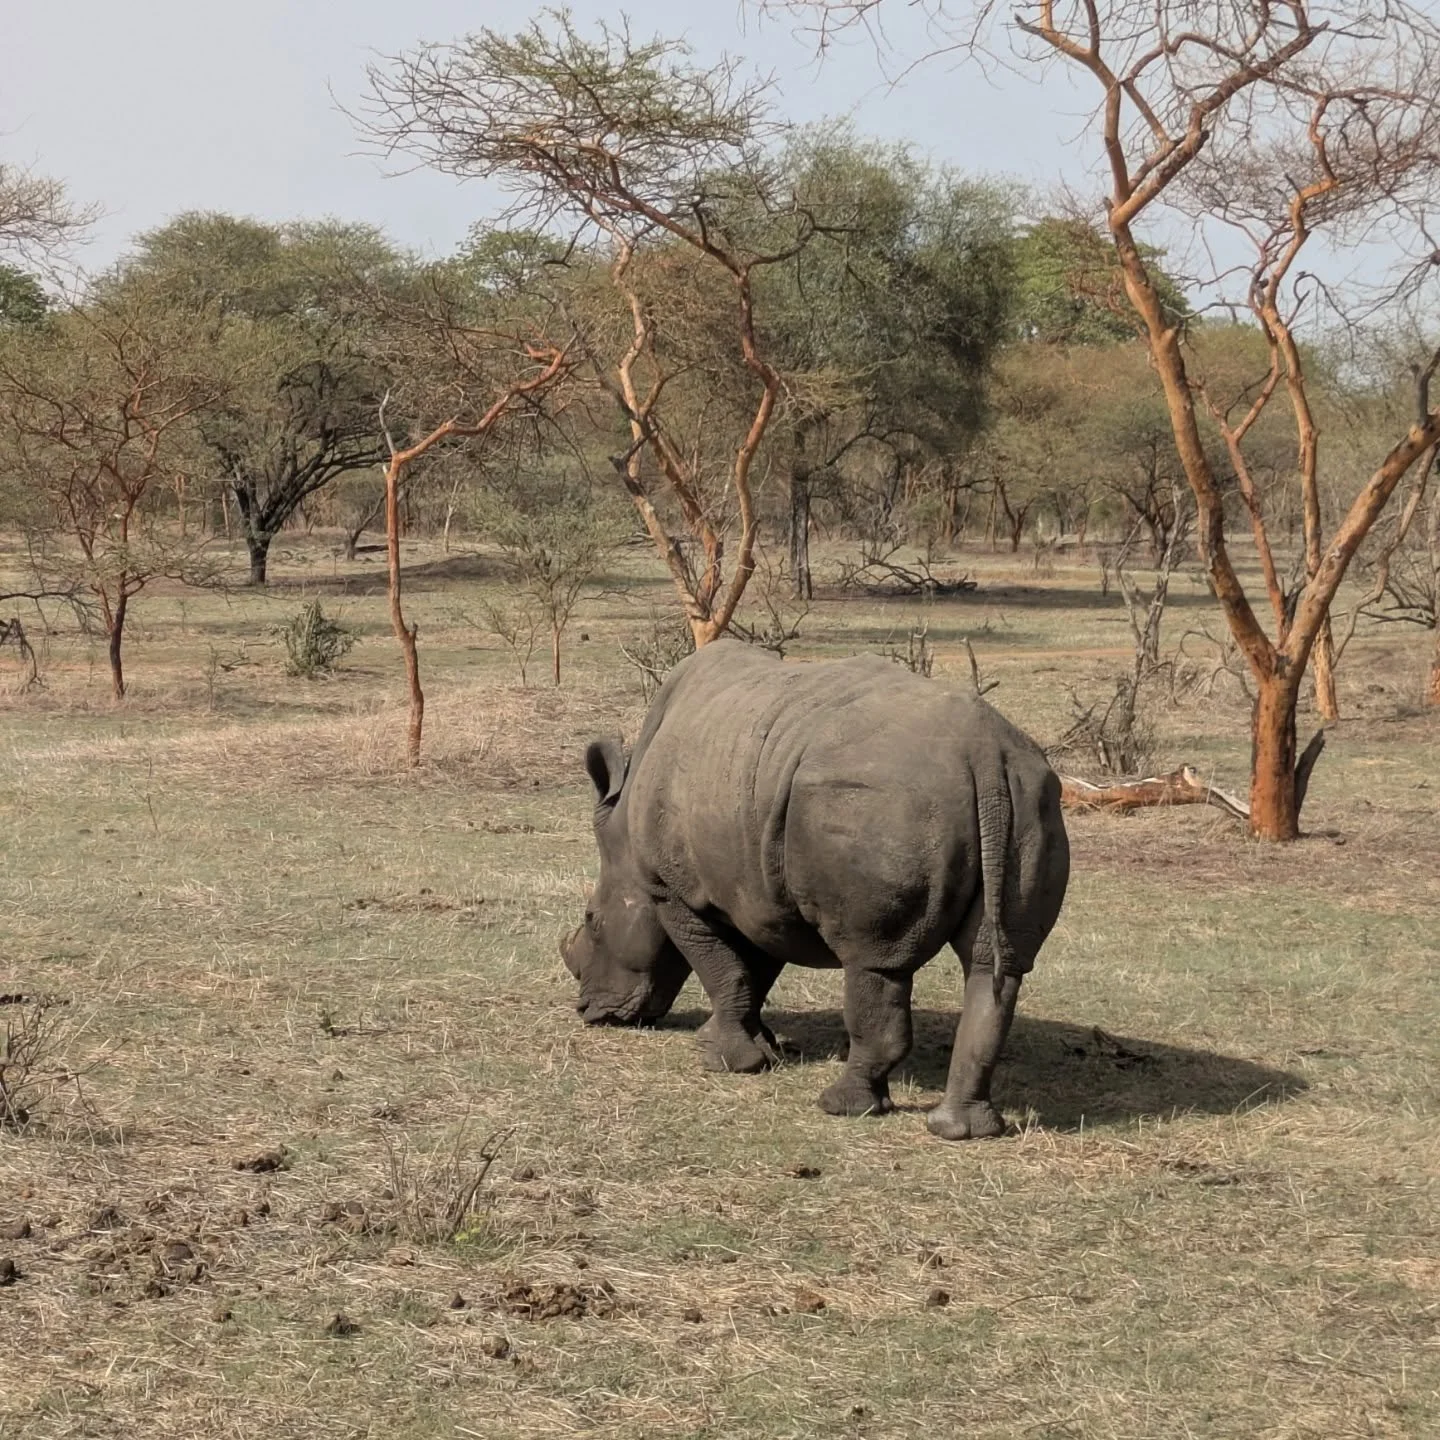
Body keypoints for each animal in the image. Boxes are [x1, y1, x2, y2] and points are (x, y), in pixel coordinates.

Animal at [561, 640, 1070, 1139]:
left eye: (592, 921)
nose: (589, 1010)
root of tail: (986, 757)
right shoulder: (756, 889)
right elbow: (751, 970)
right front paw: (754, 1047)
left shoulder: (673, 891)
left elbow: (721, 968)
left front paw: (725, 1061)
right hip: (1030, 801)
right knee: (993, 964)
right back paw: (962, 1129)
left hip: (881, 803)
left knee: (873, 959)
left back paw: (842, 1107)